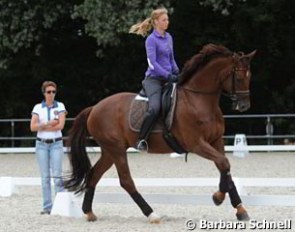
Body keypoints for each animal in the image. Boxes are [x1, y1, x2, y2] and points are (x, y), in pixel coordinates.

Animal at [65, 43, 256, 223]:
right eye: (239, 78)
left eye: (249, 77)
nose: (244, 106)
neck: (198, 100)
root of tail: (94, 108)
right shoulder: (196, 144)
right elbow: (224, 163)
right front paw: (218, 197)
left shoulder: (216, 141)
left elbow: (225, 167)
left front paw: (239, 209)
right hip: (116, 149)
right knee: (126, 181)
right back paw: (152, 214)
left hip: (109, 151)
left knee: (94, 175)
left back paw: (89, 212)